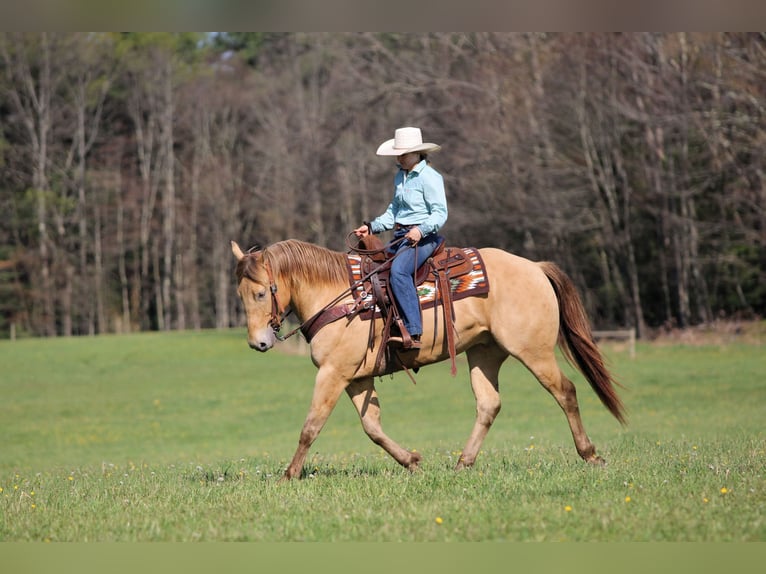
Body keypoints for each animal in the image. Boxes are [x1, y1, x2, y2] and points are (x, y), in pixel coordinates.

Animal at [231, 238, 626, 480]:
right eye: (240, 294)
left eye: (262, 293)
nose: (258, 343)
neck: (339, 297)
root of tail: (535, 267)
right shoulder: (356, 378)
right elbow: (372, 428)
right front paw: (412, 461)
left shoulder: (333, 374)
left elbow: (311, 426)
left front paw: (289, 475)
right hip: (484, 352)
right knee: (489, 404)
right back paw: (464, 463)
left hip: (534, 351)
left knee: (566, 391)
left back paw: (590, 454)